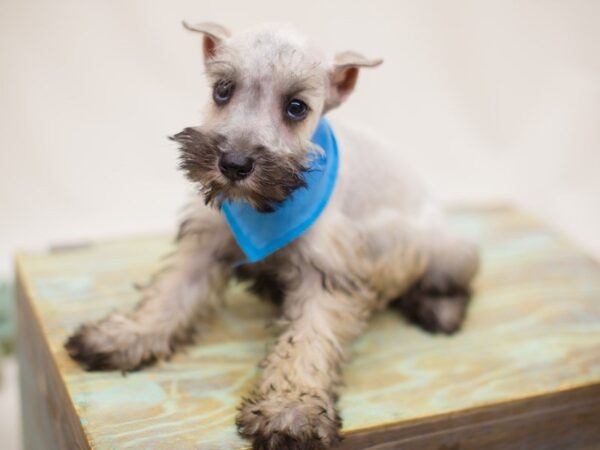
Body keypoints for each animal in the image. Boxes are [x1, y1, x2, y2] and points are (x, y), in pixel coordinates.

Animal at [65, 21, 478, 450]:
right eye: (222, 90)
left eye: (296, 107)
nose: (233, 164)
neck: (266, 207)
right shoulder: (205, 243)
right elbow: (170, 293)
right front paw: (127, 335)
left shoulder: (326, 273)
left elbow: (308, 340)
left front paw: (290, 409)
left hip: (443, 251)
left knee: (454, 283)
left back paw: (439, 309)